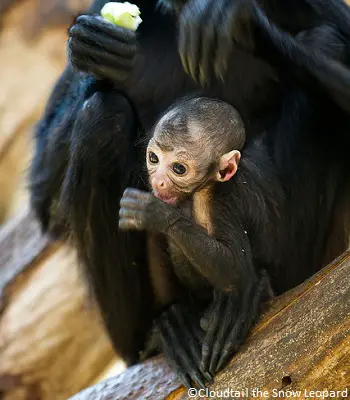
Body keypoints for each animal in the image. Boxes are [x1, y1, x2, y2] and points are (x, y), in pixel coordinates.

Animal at [29, 0, 350, 388]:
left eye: (180, 168)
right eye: (154, 159)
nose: (162, 183)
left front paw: (234, 19)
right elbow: (46, 204)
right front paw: (94, 49)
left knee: (324, 38)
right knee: (102, 115)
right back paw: (164, 330)